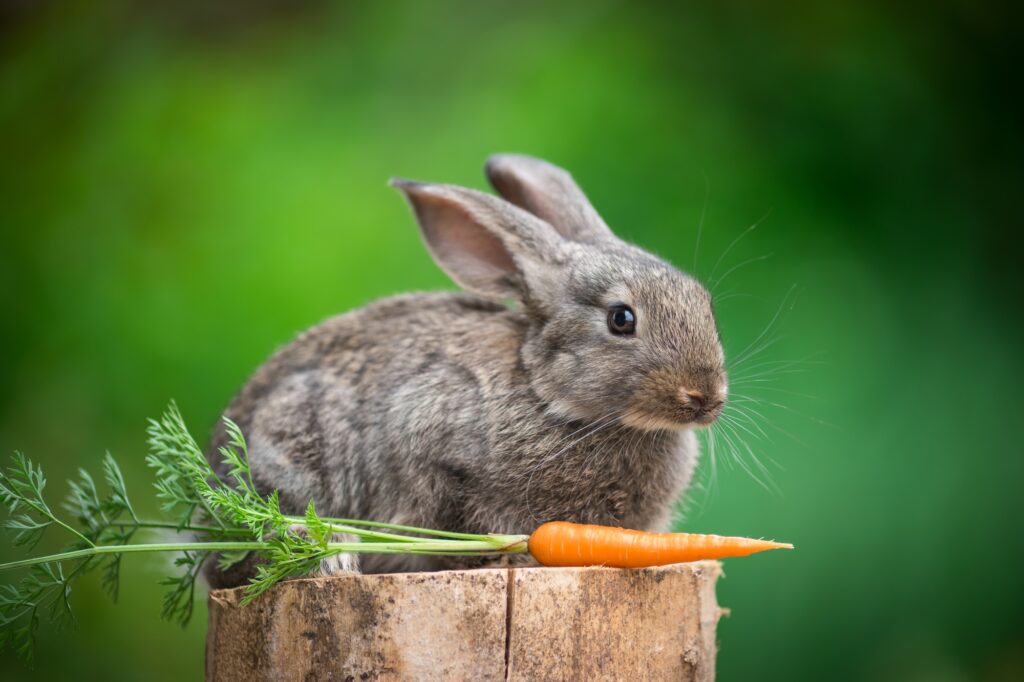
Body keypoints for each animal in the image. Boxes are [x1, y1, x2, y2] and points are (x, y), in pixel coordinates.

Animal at [201, 152, 729, 585]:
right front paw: (506, 557)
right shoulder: (426, 439)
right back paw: (331, 554)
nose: (705, 398)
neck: (550, 397)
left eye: (704, 303)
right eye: (622, 319)